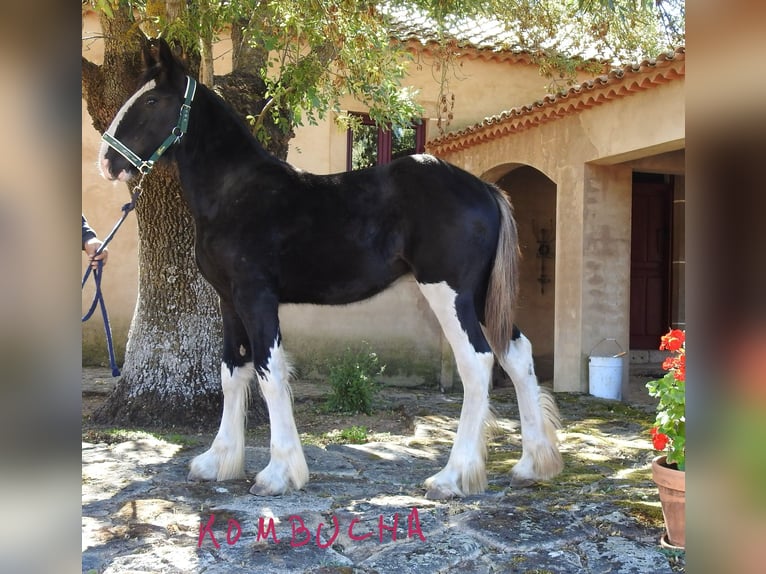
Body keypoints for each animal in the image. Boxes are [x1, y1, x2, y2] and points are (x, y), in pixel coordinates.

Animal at [99, 40, 560, 500]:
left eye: (153, 100)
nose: (106, 162)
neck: (236, 192)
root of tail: (485, 188)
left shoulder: (256, 296)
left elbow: (269, 373)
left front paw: (278, 473)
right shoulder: (229, 300)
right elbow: (233, 372)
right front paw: (217, 462)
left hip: (449, 293)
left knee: (477, 362)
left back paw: (452, 476)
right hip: (479, 295)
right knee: (517, 354)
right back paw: (531, 465)